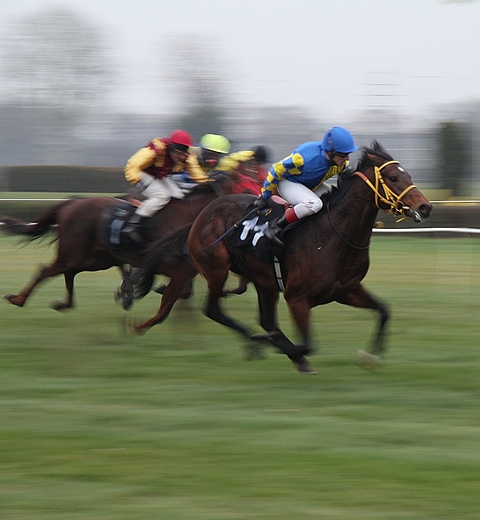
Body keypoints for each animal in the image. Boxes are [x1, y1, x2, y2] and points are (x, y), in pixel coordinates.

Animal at [0, 173, 258, 314]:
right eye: (246, 183)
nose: (258, 198)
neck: (190, 213)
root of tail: (71, 203)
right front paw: (131, 292)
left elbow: (182, 289)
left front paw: (131, 292)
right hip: (73, 252)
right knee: (47, 270)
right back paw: (18, 299)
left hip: (95, 259)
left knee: (68, 273)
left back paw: (63, 303)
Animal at [187, 142, 432, 374]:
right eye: (393, 177)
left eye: (408, 176)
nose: (425, 207)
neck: (333, 235)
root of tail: (206, 211)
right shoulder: (297, 298)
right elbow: (308, 345)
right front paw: (270, 344)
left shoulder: (347, 290)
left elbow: (384, 311)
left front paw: (369, 357)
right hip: (216, 269)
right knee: (214, 310)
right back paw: (255, 341)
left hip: (264, 280)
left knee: (266, 320)